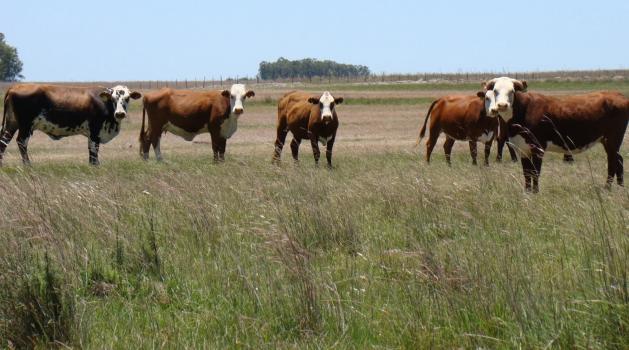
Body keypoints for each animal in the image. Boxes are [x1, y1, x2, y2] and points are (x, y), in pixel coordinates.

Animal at [0, 83, 141, 165]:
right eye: (113, 99)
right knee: (21, 142)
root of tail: (15, 87)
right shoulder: (95, 131)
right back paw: (28, 165)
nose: (120, 113)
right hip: (25, 125)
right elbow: (94, 152)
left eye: (127, 98)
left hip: (11, 123)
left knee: (3, 142)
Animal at [484, 81, 624, 191]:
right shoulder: (523, 149)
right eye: (495, 91)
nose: (502, 105)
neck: (523, 110)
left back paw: (607, 188)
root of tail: (617, 95)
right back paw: (620, 186)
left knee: (612, 162)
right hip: (608, 141)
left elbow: (535, 172)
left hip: (612, 140)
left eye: (511, 91)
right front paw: (527, 192)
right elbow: (527, 173)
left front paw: (535, 192)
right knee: (619, 159)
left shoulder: (538, 148)